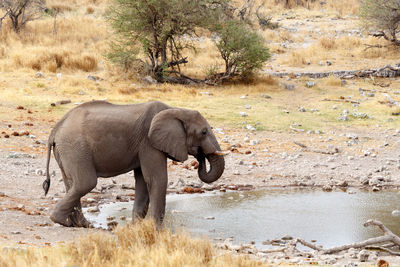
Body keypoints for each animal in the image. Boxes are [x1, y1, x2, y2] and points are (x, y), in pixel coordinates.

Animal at [43, 100, 225, 228]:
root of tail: (55, 129)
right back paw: (63, 221)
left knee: (72, 184)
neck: (176, 109)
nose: (200, 156)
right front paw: (155, 229)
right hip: (74, 147)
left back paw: (80, 224)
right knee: (85, 183)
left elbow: (143, 181)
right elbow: (157, 179)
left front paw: (136, 227)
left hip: (67, 149)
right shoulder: (149, 142)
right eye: (203, 132)